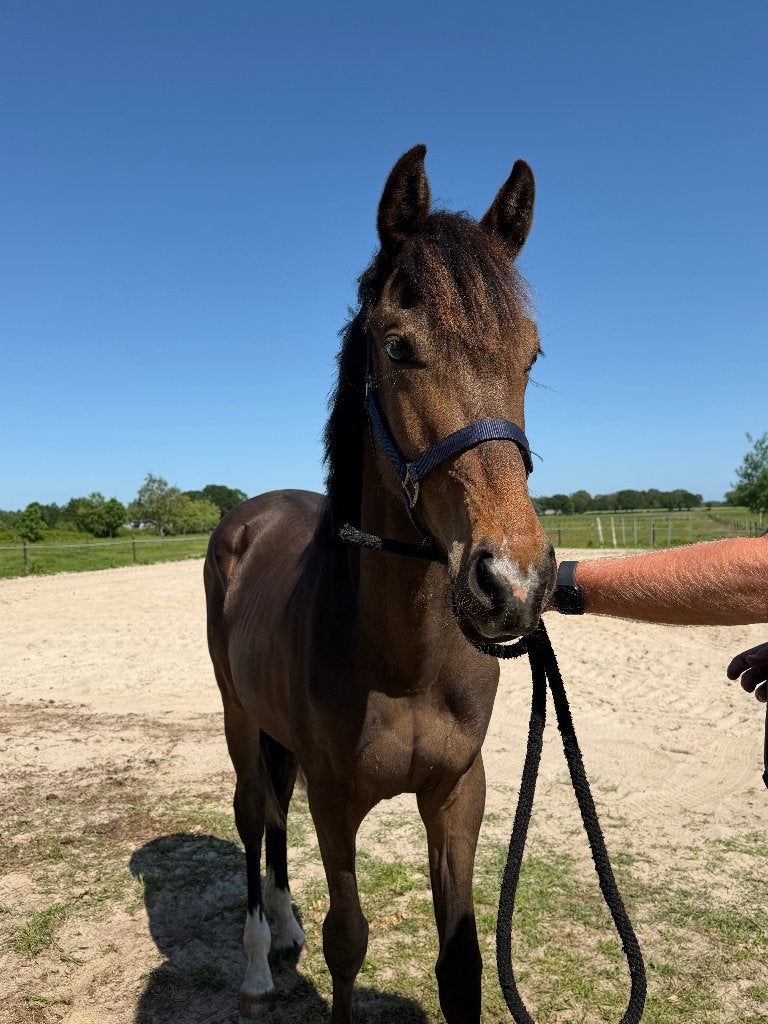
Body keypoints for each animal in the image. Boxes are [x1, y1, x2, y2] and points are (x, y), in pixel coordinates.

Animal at [204, 144, 556, 1024]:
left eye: (531, 354)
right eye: (397, 347)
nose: (514, 583)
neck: (403, 657)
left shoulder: (458, 792)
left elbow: (461, 961)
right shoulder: (337, 800)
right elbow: (348, 942)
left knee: (273, 815)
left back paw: (283, 927)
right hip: (238, 717)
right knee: (254, 813)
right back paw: (258, 960)